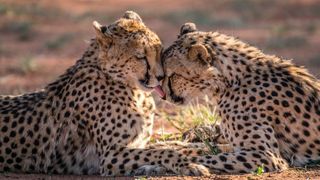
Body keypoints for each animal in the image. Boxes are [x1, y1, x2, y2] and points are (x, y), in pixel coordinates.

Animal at [0, 12, 209, 176]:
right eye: (140, 57)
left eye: (159, 51)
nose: (160, 77)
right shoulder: (110, 156)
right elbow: (164, 152)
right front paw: (189, 165)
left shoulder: (136, 145)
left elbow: (169, 147)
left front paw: (203, 150)